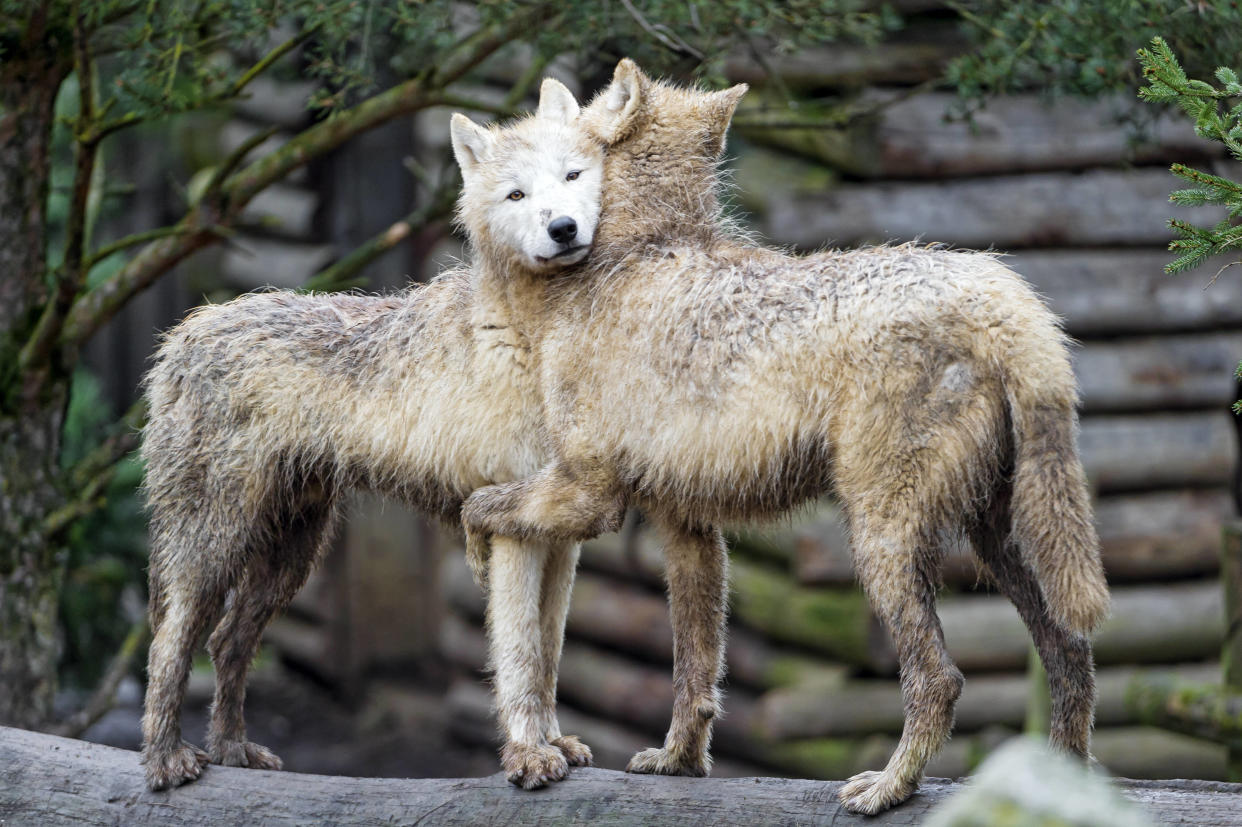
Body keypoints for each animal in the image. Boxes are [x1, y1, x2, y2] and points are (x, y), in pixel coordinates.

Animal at [140, 81, 606, 784]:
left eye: (572, 177)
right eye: (516, 195)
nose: (563, 229)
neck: (527, 340)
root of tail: (182, 335)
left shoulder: (559, 539)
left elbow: (548, 654)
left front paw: (557, 743)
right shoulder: (512, 534)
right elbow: (520, 658)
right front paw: (528, 754)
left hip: (289, 558)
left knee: (224, 644)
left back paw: (231, 750)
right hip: (215, 547)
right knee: (169, 646)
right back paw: (166, 759)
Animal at [462, 61, 1112, 814]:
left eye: (572, 170)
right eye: (523, 188)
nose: (563, 228)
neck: (639, 251)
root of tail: (1004, 296)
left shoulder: (591, 494)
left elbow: (481, 504)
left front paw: (476, 546)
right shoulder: (687, 527)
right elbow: (696, 669)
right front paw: (680, 762)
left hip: (881, 537)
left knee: (941, 678)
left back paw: (886, 788)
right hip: (996, 535)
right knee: (1070, 653)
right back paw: (1056, 790)